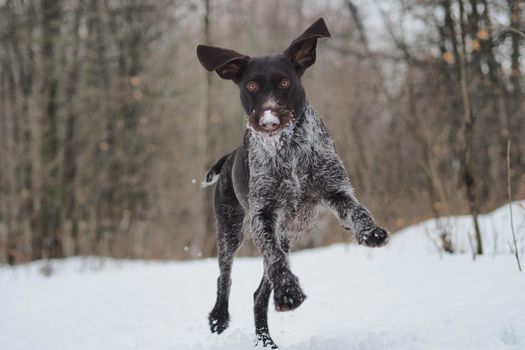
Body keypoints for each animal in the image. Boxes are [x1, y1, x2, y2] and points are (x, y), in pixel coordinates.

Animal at [194, 17, 386, 348]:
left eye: (285, 83)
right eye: (252, 86)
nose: (269, 121)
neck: (288, 150)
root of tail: (230, 156)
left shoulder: (336, 192)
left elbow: (358, 210)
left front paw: (369, 231)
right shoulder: (263, 216)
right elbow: (275, 261)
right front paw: (288, 292)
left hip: (284, 234)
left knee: (258, 294)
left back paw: (265, 340)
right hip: (231, 230)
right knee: (225, 276)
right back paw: (220, 317)